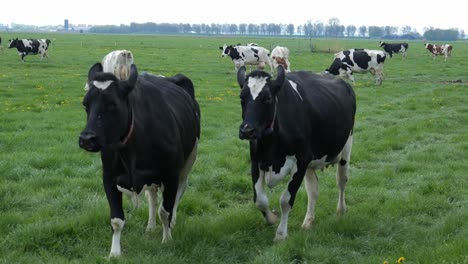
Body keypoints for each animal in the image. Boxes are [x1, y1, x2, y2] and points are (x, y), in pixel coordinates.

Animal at [77, 62, 201, 256]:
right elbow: (116, 220)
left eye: (112, 104)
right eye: (85, 105)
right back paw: (150, 226)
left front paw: (167, 239)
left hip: (189, 159)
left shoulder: (171, 175)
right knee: (152, 197)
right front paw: (114, 253)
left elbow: (165, 211)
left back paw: (172, 222)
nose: (86, 139)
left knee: (180, 191)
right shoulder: (109, 177)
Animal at [238, 65, 354, 241]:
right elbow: (259, 199)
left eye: (267, 98)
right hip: (311, 161)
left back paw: (341, 210)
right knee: (313, 189)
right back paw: (308, 221)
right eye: (241, 98)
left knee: (341, 181)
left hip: (346, 146)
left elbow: (286, 200)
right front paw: (271, 218)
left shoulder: (301, 160)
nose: (246, 130)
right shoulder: (256, 161)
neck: (271, 147)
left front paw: (281, 235)